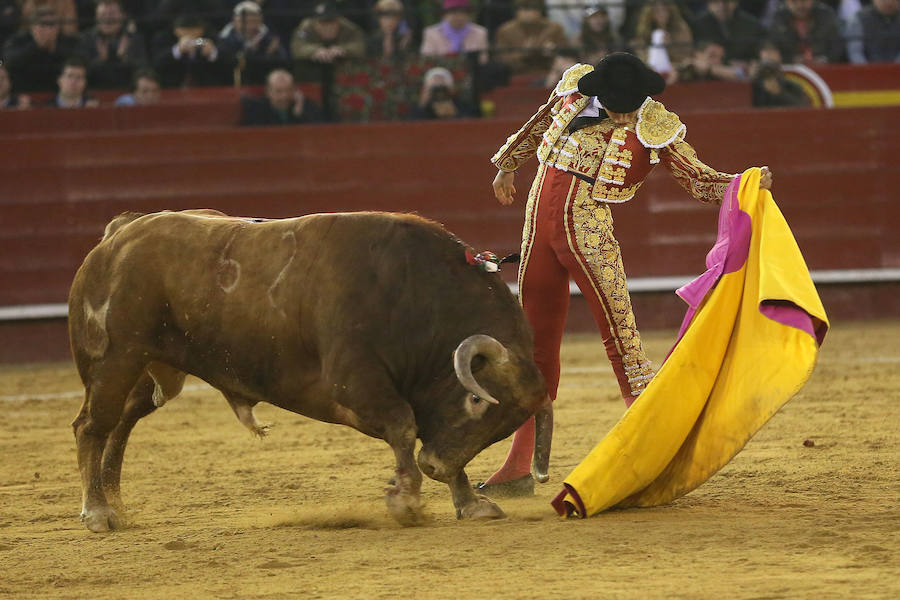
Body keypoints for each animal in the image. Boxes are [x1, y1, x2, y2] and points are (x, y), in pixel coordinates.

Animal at [68, 209, 548, 532]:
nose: (435, 466)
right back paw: (98, 512)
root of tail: (119, 235)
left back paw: (114, 501)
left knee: (121, 424)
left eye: (503, 427)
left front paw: (469, 502)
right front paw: (406, 503)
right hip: (116, 359)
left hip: (154, 372)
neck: (411, 293)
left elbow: (425, 433)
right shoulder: (355, 384)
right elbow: (404, 427)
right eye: (475, 399)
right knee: (92, 425)